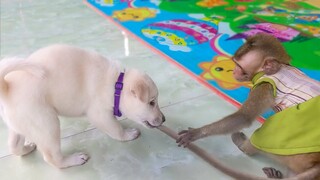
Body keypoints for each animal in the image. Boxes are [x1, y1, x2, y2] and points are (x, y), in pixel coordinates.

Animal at [0, 44, 165, 168]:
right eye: (152, 102)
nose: (163, 119)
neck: (116, 84)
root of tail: (7, 88)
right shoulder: (100, 114)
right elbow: (116, 129)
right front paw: (128, 134)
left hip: (21, 124)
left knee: (14, 146)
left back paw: (27, 148)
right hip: (46, 124)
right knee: (52, 157)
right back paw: (74, 159)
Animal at [176, 32, 320, 179]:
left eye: (239, 66)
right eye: (235, 64)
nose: (234, 71)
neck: (280, 67)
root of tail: (317, 163)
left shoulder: (263, 86)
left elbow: (243, 117)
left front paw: (196, 133)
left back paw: (244, 145)